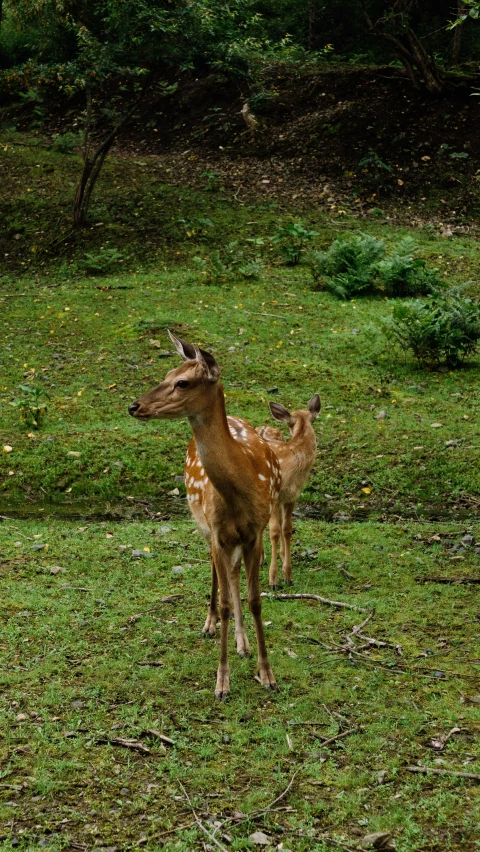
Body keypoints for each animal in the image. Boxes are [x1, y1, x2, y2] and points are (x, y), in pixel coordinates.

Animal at [129, 332, 282, 700]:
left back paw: (242, 643)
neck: (239, 489)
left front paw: (267, 673)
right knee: (216, 570)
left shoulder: (254, 532)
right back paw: (210, 624)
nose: (134, 406)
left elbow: (256, 600)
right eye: (167, 374)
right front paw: (222, 681)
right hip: (203, 526)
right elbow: (226, 600)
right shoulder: (217, 532)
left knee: (233, 573)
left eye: (182, 382)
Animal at [256, 394, 320, 588]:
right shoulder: (275, 496)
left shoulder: (292, 495)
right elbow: (275, 531)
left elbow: (287, 529)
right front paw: (273, 580)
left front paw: (288, 576)